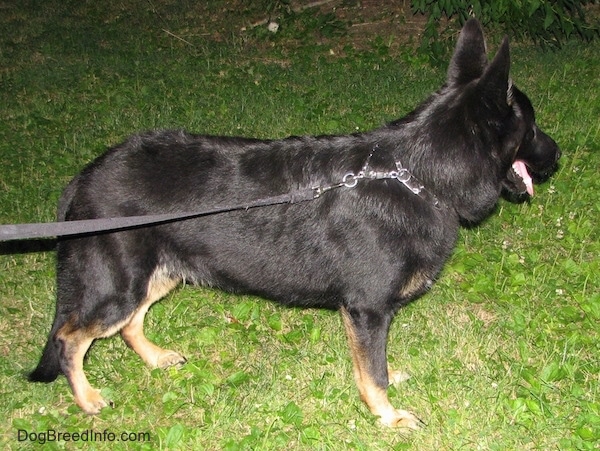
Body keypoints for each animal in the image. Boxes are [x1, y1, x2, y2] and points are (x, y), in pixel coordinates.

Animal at [30, 19, 560, 430]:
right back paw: (87, 399)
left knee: (129, 325)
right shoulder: (367, 311)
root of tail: (85, 176)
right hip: (118, 287)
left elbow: (376, 364)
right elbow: (373, 372)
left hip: (158, 275)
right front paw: (387, 416)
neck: (418, 174)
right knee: (70, 338)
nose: (559, 156)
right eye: (532, 128)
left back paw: (156, 359)